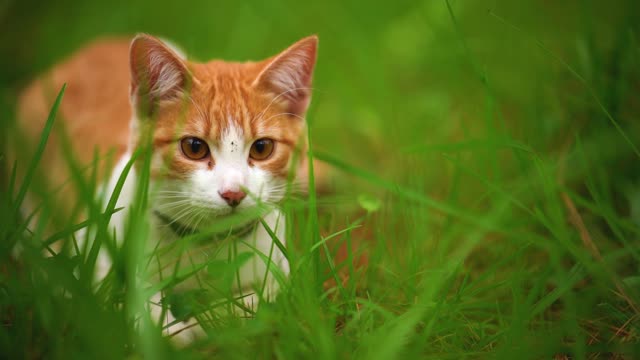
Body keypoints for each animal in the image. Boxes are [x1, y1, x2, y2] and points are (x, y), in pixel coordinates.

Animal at [16, 33, 320, 340]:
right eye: (194, 147)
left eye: (261, 148)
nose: (233, 193)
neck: (206, 245)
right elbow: (117, 302)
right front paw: (173, 328)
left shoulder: (280, 268)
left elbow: (263, 301)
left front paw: (216, 317)